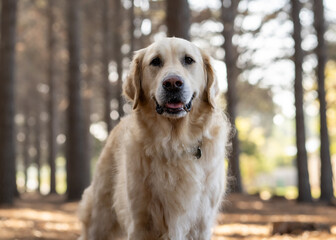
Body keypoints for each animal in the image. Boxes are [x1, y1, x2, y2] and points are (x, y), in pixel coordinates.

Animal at [78, 36, 230, 239]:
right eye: (155, 61)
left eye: (188, 60)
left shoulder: (201, 224)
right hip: (100, 218)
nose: (173, 83)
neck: (174, 143)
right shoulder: (140, 222)